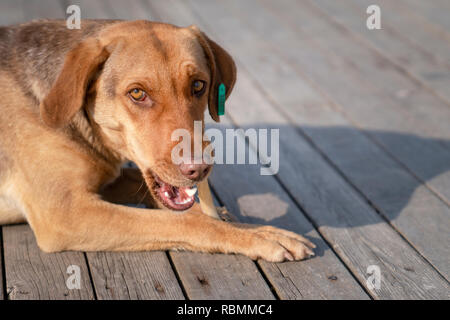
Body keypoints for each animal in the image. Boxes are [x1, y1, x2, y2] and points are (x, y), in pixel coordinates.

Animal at [0, 18, 314, 262]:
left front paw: (250, 226)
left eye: (198, 85)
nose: (199, 169)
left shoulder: (108, 182)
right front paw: (256, 236)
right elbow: (187, 221)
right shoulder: (65, 212)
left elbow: (184, 208)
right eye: (138, 93)